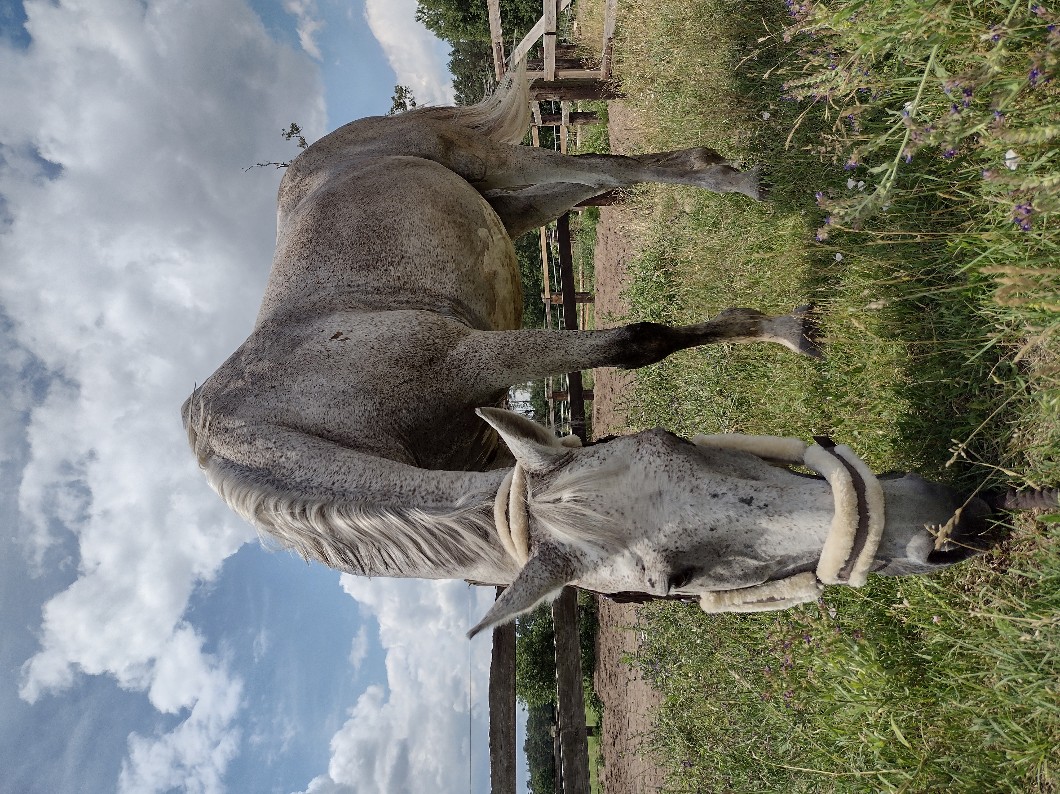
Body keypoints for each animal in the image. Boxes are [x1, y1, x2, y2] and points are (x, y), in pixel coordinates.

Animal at [183, 70, 1011, 638]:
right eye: (671, 581)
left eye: (676, 438)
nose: (949, 522)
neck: (297, 425)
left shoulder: (474, 359)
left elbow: (636, 343)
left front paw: (785, 327)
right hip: (522, 205)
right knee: (601, 181)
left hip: (503, 171)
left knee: (625, 171)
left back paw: (742, 189)